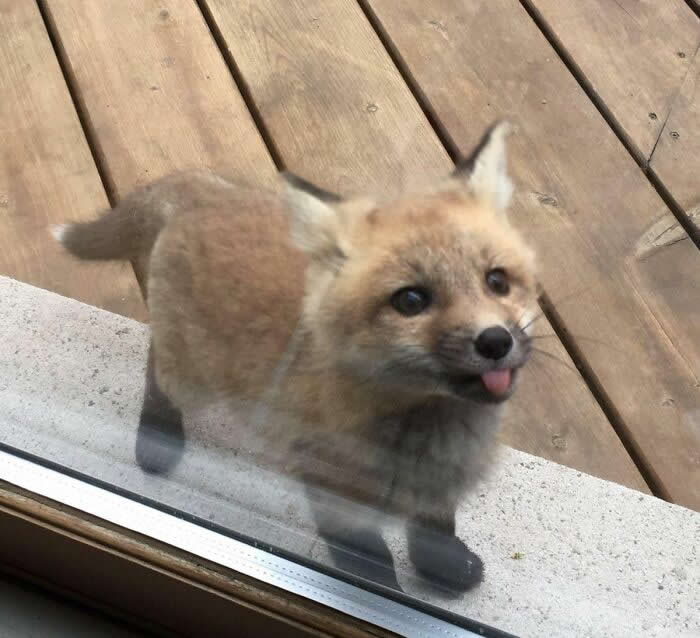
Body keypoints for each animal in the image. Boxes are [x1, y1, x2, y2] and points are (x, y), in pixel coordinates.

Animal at [54, 121, 538, 594]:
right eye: (411, 300)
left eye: (497, 281)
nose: (495, 342)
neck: (427, 433)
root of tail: (203, 190)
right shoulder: (334, 494)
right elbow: (371, 565)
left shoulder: (440, 488)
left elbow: (434, 530)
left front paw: (444, 567)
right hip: (193, 379)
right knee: (158, 369)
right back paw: (158, 437)